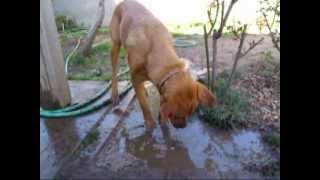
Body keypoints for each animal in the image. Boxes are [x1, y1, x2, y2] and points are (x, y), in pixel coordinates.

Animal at [109, 0, 216, 130]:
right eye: (175, 115)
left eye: (191, 112)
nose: (183, 126)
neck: (155, 47)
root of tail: (123, 2)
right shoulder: (134, 77)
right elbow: (143, 104)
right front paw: (150, 122)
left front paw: (162, 120)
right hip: (115, 46)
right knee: (114, 71)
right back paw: (115, 94)